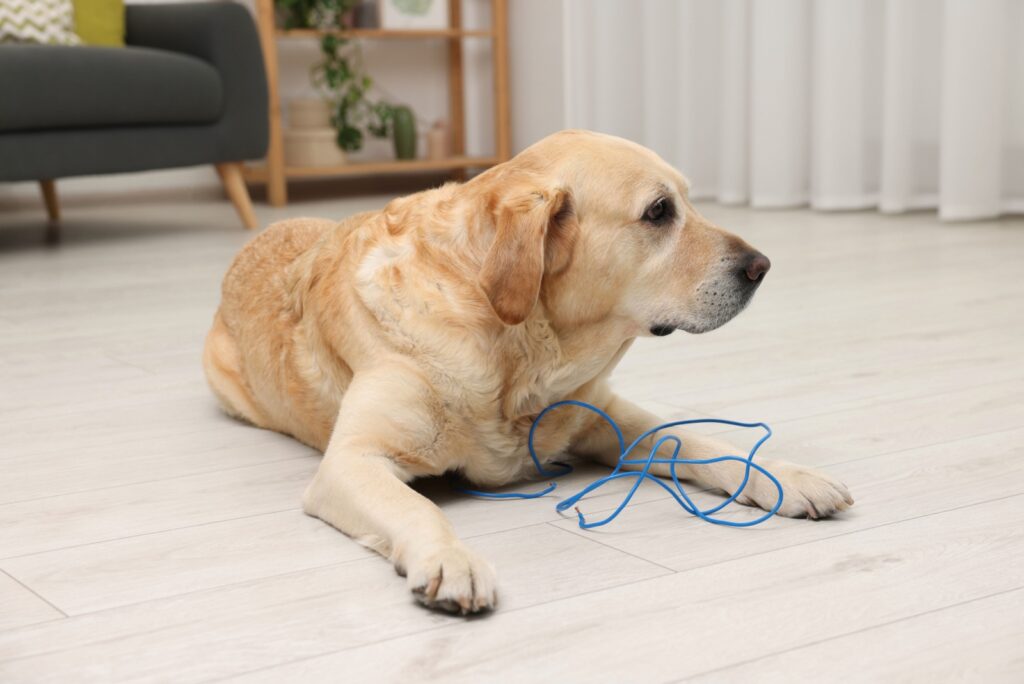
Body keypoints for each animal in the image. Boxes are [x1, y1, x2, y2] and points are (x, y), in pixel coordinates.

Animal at [203, 127, 851, 614]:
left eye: (688, 201)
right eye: (659, 211)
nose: (761, 266)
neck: (520, 352)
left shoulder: (606, 414)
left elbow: (696, 438)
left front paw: (786, 476)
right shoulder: (351, 461)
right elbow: (417, 507)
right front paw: (452, 559)